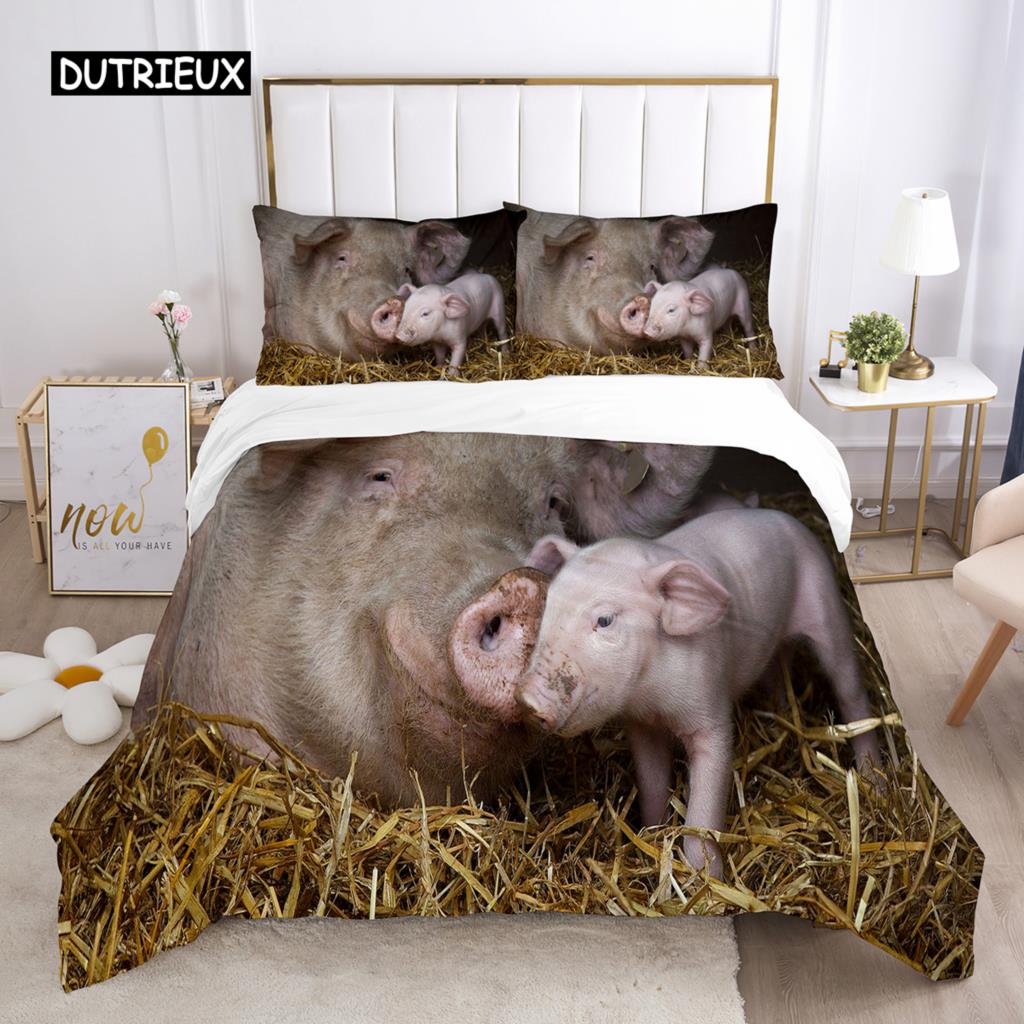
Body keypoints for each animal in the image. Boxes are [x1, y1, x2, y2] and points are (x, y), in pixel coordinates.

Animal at [515, 508, 883, 876]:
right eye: (548, 608)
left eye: (604, 620)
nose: (528, 699)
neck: (651, 695)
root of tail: (786, 518)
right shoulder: (642, 725)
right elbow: (652, 783)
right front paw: (651, 831)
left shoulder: (711, 709)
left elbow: (705, 804)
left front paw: (703, 877)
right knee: (778, 673)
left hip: (826, 605)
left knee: (850, 690)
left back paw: (870, 775)